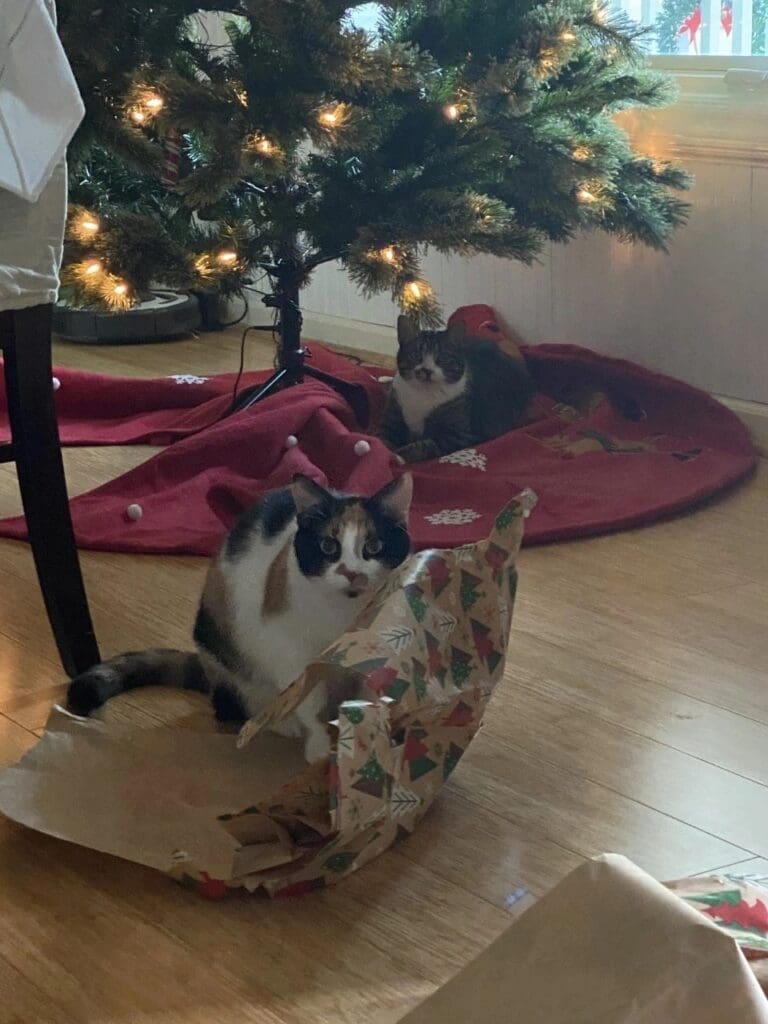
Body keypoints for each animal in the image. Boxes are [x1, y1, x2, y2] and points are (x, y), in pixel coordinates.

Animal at [66, 471, 415, 761]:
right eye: (328, 546)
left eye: (374, 545)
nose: (352, 573)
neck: (343, 615)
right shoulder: (289, 650)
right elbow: (310, 703)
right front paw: (318, 748)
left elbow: (367, 695)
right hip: (228, 655)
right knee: (234, 706)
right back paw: (279, 722)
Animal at [378, 315, 536, 464]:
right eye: (416, 355)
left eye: (443, 358)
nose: (426, 370)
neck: (423, 393)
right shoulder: (392, 417)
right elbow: (382, 438)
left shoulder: (459, 436)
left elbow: (425, 445)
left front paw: (398, 455)